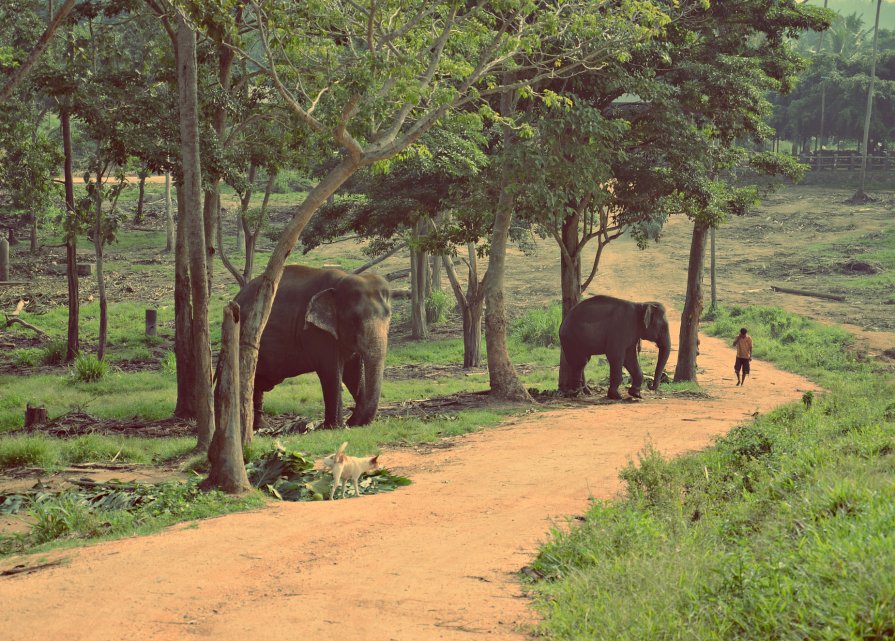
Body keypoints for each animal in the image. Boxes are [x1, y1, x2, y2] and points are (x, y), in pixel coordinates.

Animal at [236, 262, 394, 428]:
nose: (351, 422)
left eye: (388, 316)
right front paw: (333, 427)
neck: (340, 281)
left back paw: (261, 427)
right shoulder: (315, 332)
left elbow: (352, 372)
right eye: (354, 319)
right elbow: (330, 371)